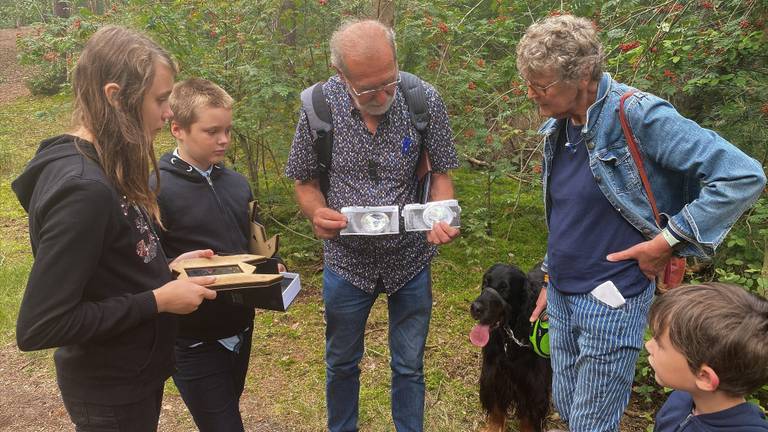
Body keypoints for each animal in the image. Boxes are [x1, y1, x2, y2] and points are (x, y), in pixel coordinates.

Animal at [468, 264, 552, 432]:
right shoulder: (494, 375)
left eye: (504, 288)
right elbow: (496, 412)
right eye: (485, 282)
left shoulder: (533, 386)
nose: (475, 308)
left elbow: (528, 419)